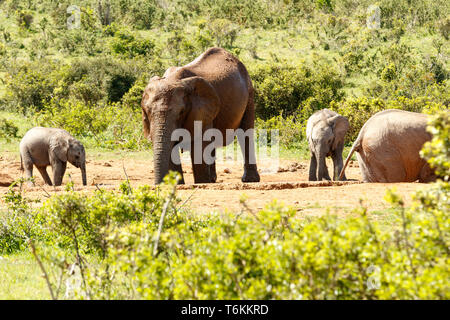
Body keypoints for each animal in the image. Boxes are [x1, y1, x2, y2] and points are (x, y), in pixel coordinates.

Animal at [141, 46, 260, 184]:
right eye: (147, 111)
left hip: (249, 92)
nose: (158, 184)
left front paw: (201, 182)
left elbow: (199, 145)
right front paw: (179, 184)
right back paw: (212, 180)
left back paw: (249, 180)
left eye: (181, 112)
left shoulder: (201, 110)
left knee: (245, 133)